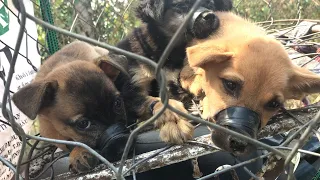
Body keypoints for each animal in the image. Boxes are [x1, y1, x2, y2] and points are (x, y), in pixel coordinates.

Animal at [11, 40, 142, 173]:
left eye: (118, 104)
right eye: (83, 124)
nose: (121, 145)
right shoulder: (51, 133)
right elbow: (75, 143)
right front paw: (79, 152)